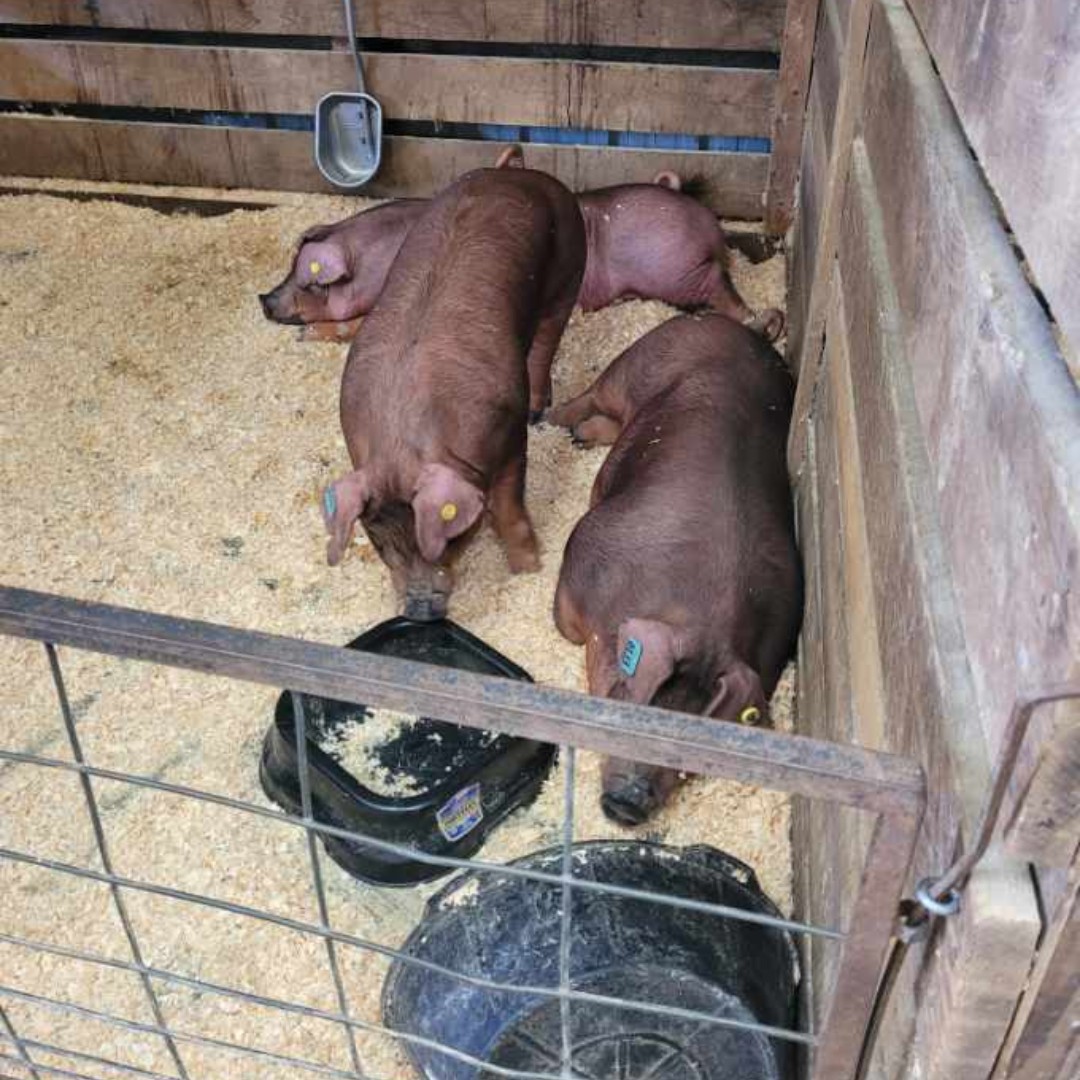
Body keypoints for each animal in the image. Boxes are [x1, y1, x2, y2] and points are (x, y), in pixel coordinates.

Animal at [320, 166, 586, 620]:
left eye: (451, 539)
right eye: (378, 542)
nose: (418, 611)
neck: (401, 441)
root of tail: (520, 173)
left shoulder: (511, 433)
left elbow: (509, 509)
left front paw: (528, 569)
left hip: (570, 266)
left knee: (548, 336)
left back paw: (541, 408)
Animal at [549, 313, 802, 825]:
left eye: (696, 742)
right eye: (642, 706)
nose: (629, 802)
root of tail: (746, 328)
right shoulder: (581, 553)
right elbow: (564, 625)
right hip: (637, 361)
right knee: (592, 394)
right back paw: (554, 421)